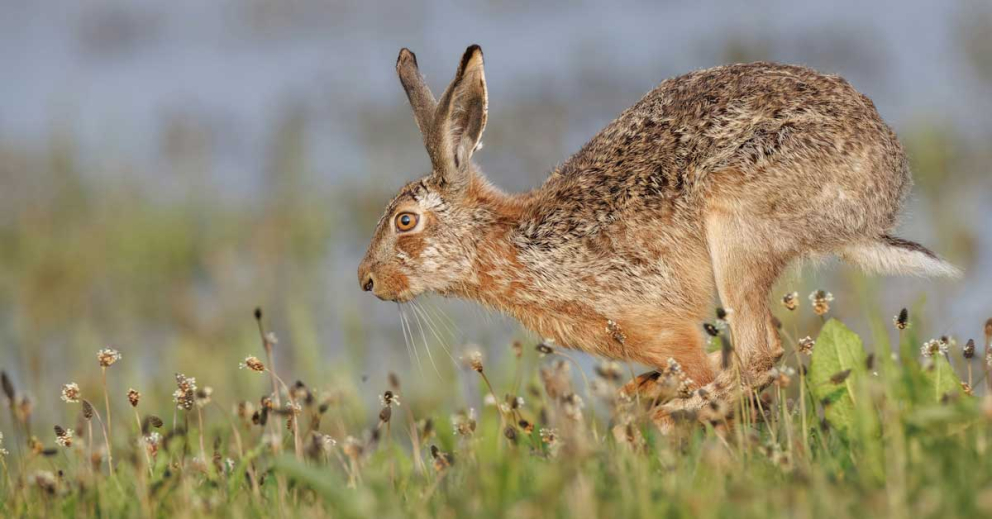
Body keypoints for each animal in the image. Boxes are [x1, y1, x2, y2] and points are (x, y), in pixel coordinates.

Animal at [358, 45, 960, 428]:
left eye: (406, 221)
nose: (367, 281)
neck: (514, 240)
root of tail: (877, 201)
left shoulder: (663, 328)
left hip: (738, 220)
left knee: (759, 350)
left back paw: (682, 409)